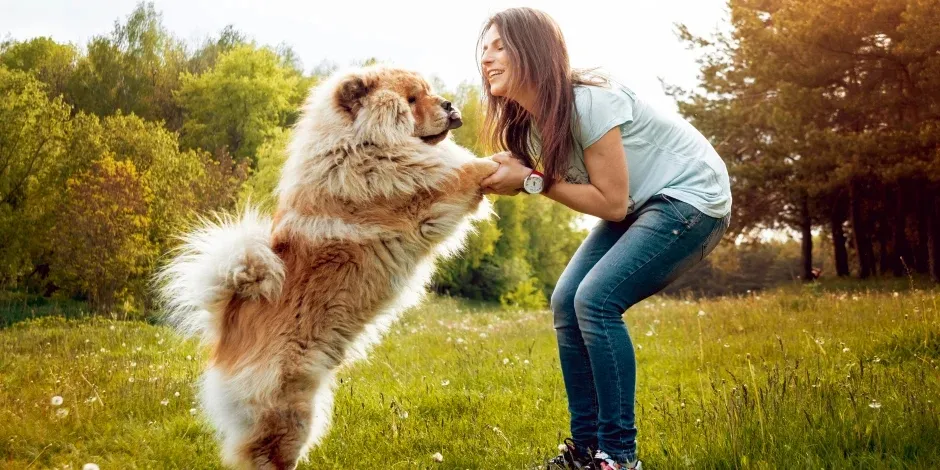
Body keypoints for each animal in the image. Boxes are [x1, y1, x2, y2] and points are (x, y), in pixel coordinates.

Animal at [158, 67, 500, 470]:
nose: (448, 104)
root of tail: (228, 328)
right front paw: (501, 163)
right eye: (412, 99)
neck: (358, 146)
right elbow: (462, 173)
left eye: (429, 92)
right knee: (265, 454)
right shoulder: (422, 198)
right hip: (288, 412)